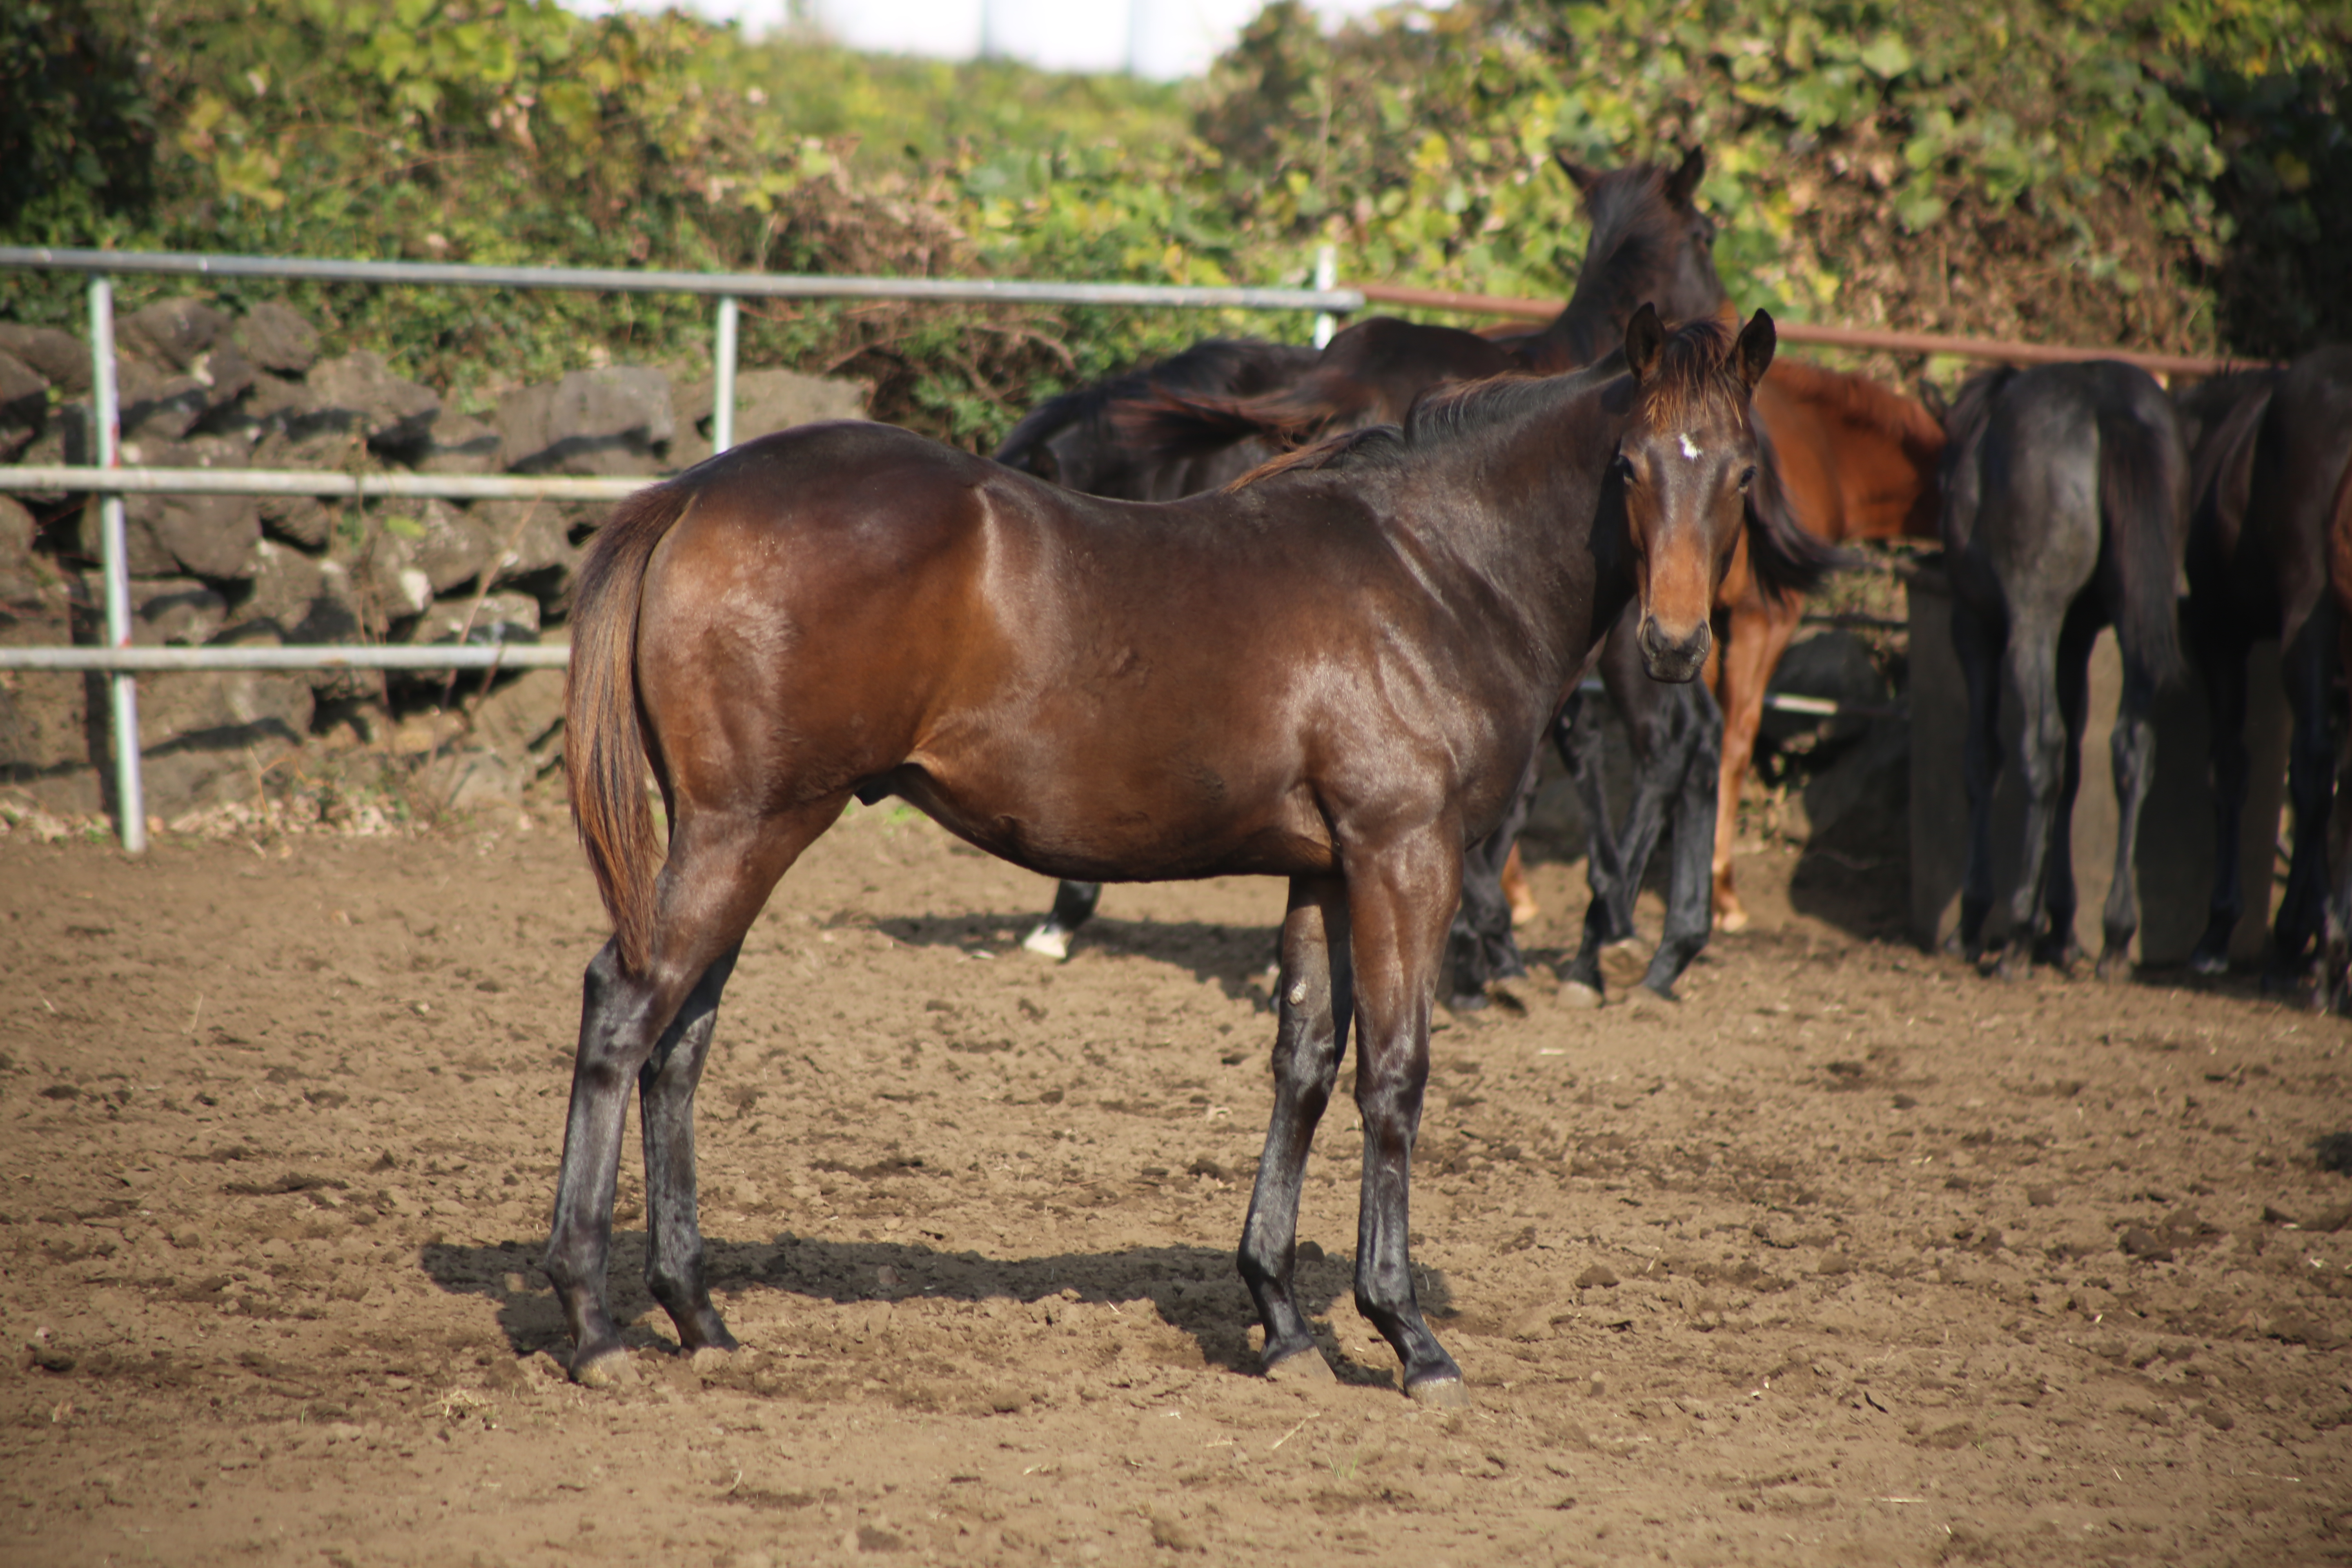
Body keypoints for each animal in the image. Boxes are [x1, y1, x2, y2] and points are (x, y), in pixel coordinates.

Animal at [550, 305, 1797, 1401]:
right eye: (1629, 465)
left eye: (1740, 473)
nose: (1672, 643)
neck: (1432, 570)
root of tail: (693, 491)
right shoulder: (1406, 856)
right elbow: (1393, 1075)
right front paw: (1406, 1334)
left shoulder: (1326, 871)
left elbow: (1305, 1065)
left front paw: (1283, 1323)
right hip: (747, 827)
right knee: (625, 1009)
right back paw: (593, 1323)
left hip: (746, 833)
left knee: (681, 1039)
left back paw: (697, 1315)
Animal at [1938, 369, 2192, 982]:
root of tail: (2109, 404)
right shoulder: (2076, 640)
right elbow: (2077, 773)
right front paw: (2063, 928)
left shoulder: (1974, 627)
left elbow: (1984, 759)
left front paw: (1976, 918)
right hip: (2134, 618)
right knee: (2131, 752)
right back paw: (2116, 935)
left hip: (2032, 621)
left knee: (2042, 749)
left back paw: (2018, 936)